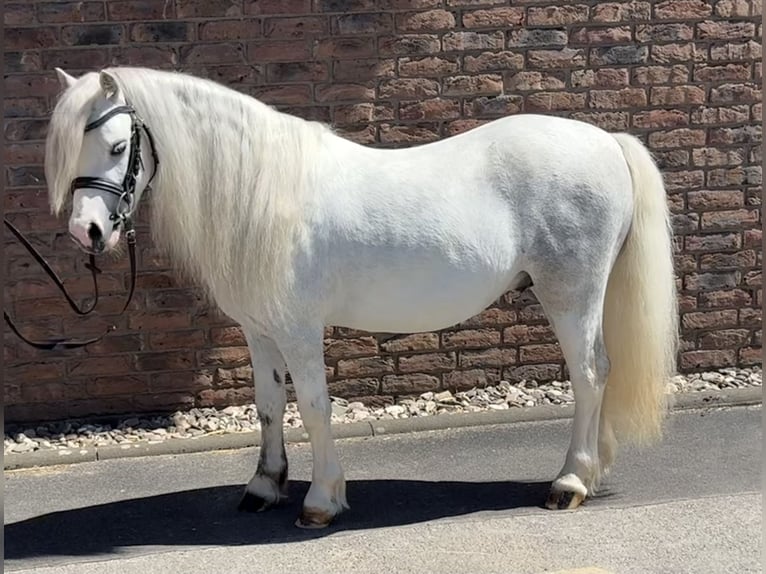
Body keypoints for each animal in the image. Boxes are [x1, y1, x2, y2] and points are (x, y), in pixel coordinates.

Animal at [45, 66, 678, 528]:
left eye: (117, 145)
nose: (87, 232)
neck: (263, 192)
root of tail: (607, 141)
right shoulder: (259, 330)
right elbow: (269, 405)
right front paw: (264, 486)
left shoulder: (299, 330)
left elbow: (314, 407)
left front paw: (321, 501)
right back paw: (591, 473)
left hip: (571, 295)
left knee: (590, 375)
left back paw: (569, 482)